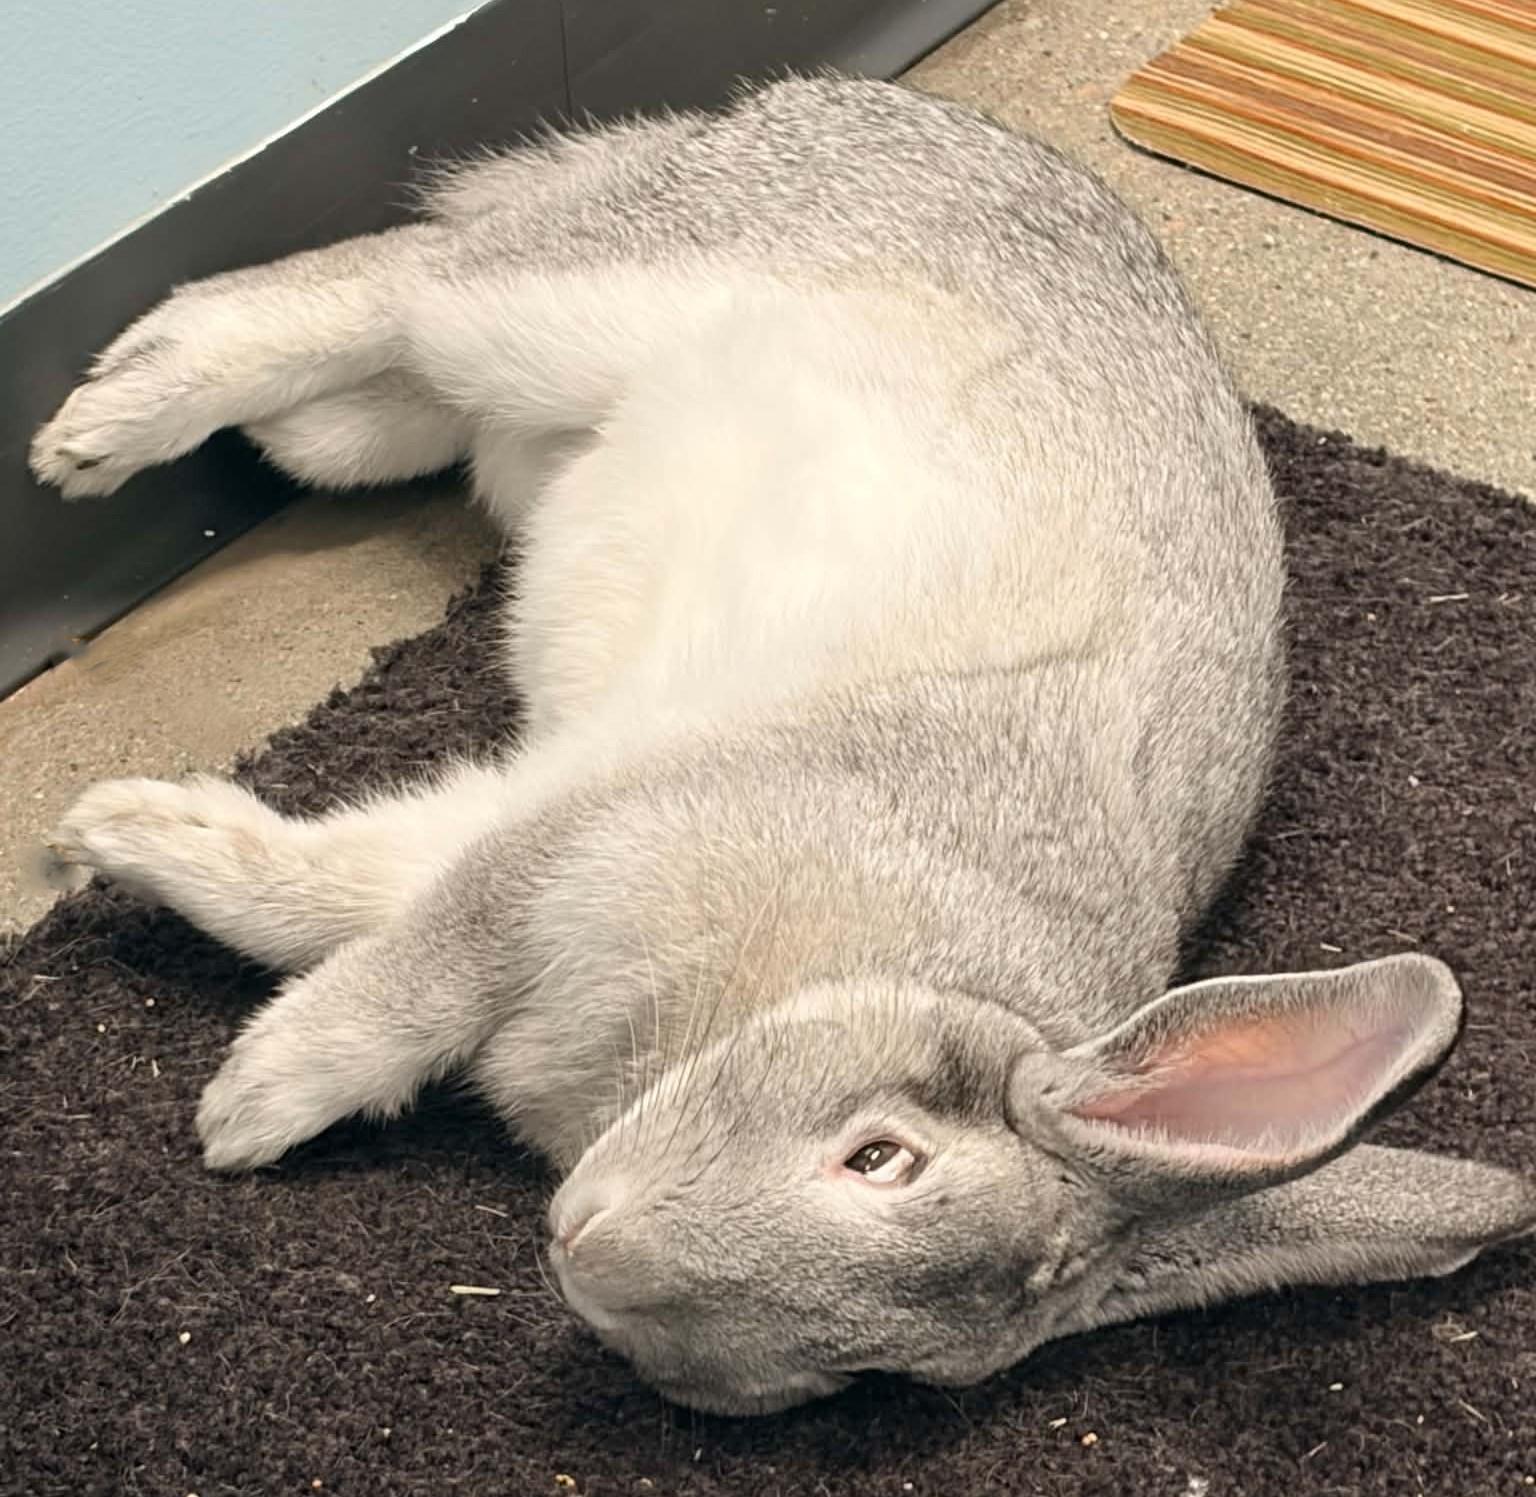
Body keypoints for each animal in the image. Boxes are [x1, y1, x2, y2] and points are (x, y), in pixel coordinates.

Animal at [30, 75, 1535, 1417]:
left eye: (862, 1374)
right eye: (881, 1158)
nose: (588, 1255)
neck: (861, 968)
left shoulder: (516, 827)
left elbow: (319, 894)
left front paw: (116, 836)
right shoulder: (583, 847)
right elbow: (392, 981)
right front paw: (248, 1109)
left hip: (492, 402)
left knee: (372, 396)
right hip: (580, 294)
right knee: (378, 281)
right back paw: (93, 437)